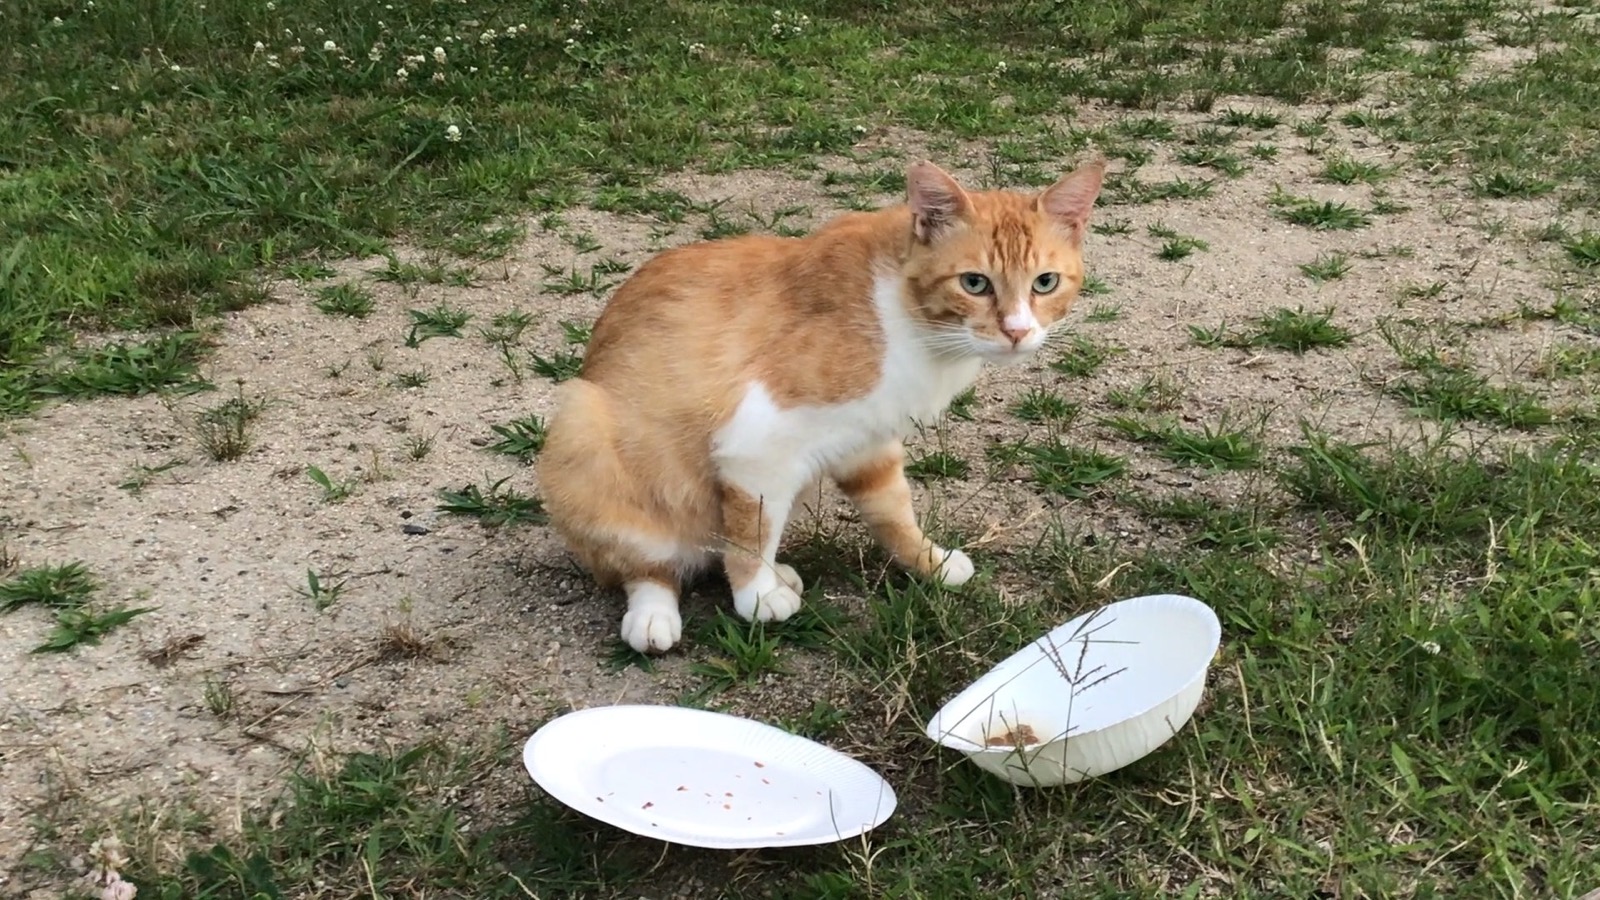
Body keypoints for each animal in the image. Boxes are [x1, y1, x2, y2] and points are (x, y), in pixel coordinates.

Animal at [534, 156, 1100, 650]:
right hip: (583, 427)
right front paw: (756, 596)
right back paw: (655, 615)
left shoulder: (867, 442)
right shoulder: (756, 445)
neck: (905, 316)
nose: (1017, 332)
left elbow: (893, 511)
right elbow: (752, 530)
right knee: (648, 567)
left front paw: (930, 563)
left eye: (1045, 282)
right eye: (975, 283)